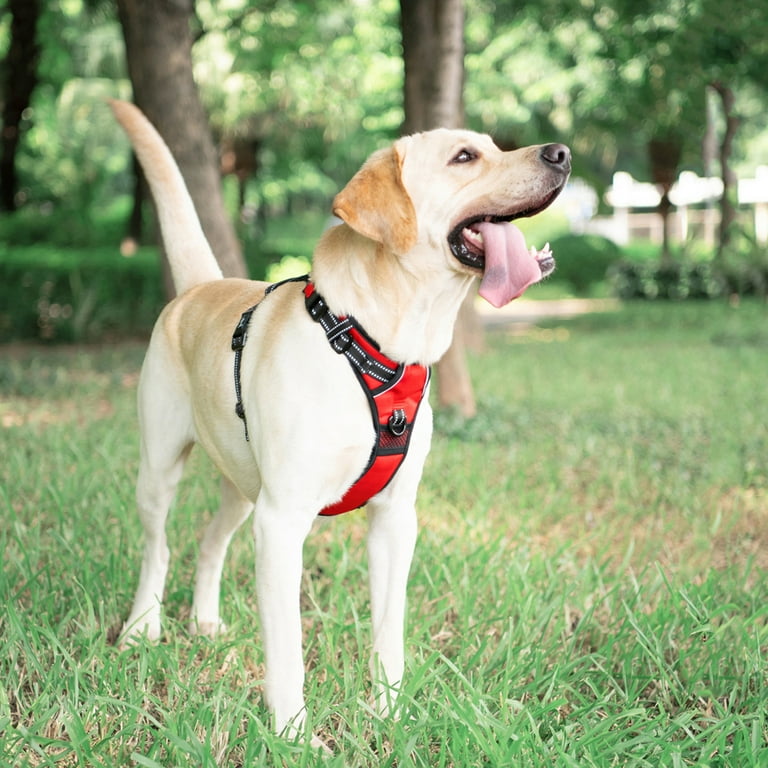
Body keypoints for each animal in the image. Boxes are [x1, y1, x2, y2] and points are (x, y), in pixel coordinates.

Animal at [112, 100, 568, 744]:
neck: (371, 342)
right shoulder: (282, 522)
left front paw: (390, 713)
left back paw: (203, 621)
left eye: (493, 144)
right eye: (464, 157)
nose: (562, 153)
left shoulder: (395, 520)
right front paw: (292, 733)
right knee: (159, 548)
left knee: (208, 542)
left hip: (243, 490)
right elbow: (287, 649)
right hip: (160, 469)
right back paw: (142, 628)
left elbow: (388, 634)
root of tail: (200, 285)